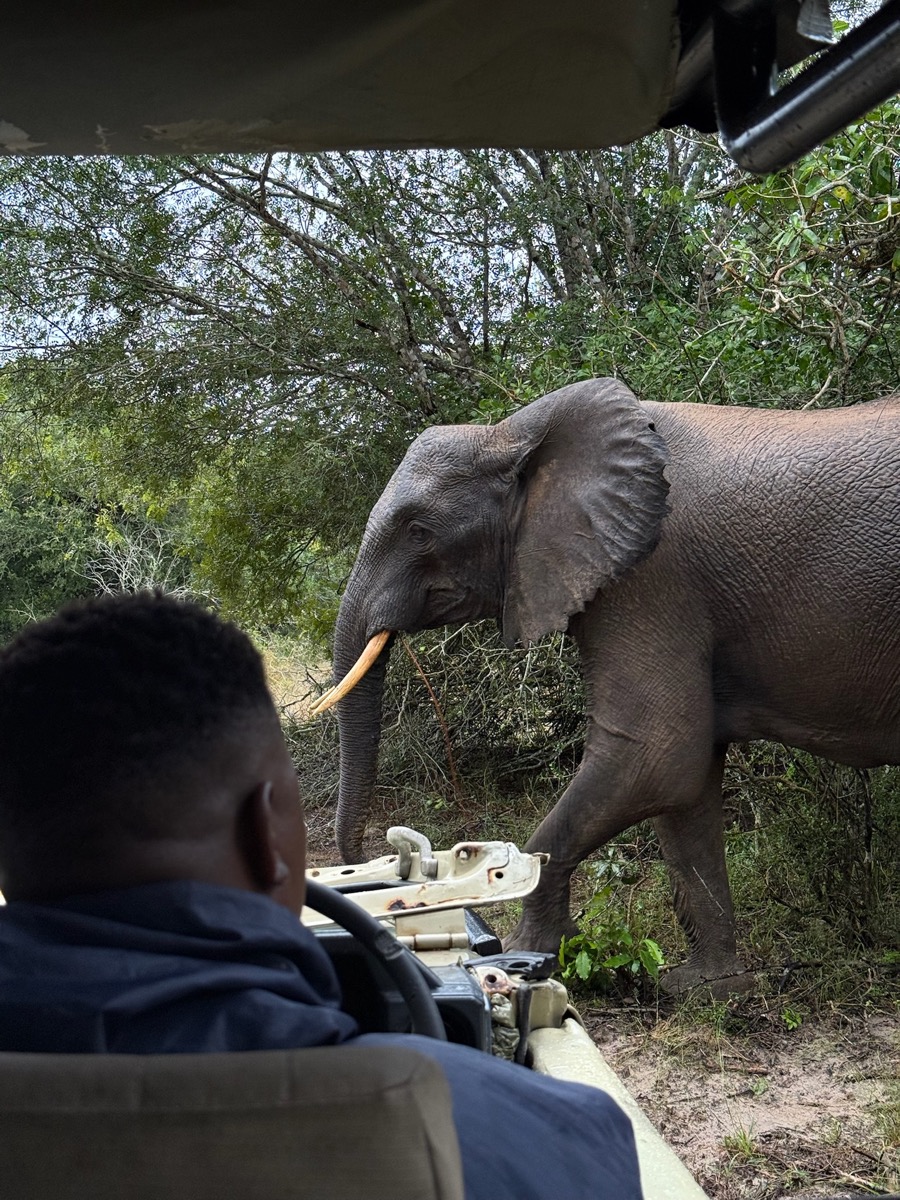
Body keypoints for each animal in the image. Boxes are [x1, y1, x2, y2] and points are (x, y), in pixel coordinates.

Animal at [318, 377, 900, 994]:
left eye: (418, 530)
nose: (378, 860)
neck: (510, 433)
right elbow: (685, 792)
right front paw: (705, 987)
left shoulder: (651, 578)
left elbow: (657, 755)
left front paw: (525, 956)